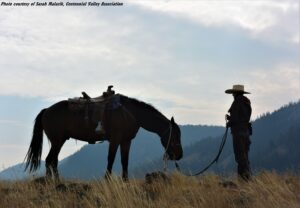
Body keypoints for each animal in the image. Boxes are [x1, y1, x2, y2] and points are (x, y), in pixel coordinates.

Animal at [24, 94, 183, 180]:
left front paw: (125, 180)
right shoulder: (115, 140)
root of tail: (46, 111)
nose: (179, 155)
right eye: (175, 135)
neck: (131, 113)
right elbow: (110, 160)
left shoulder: (126, 141)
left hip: (60, 141)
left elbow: (124, 161)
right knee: (50, 160)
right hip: (57, 141)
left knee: (53, 161)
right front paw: (107, 179)